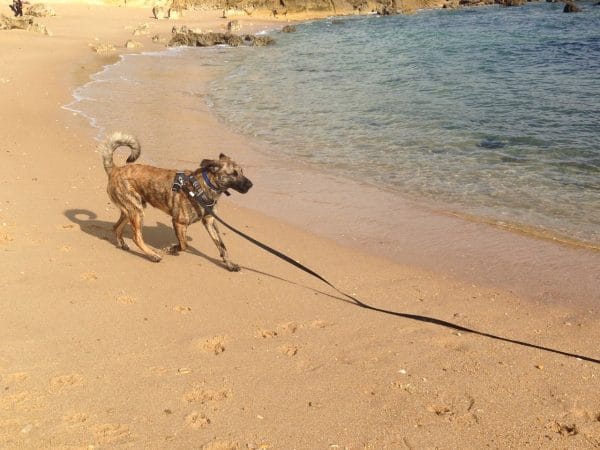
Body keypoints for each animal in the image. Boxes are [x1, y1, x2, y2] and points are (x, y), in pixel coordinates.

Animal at [98, 130, 251, 270]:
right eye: (233, 174)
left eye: (242, 171)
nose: (251, 185)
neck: (203, 186)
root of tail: (115, 170)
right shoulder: (179, 223)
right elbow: (184, 245)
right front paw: (172, 249)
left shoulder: (209, 221)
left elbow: (222, 246)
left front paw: (230, 264)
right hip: (137, 211)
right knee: (136, 237)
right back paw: (152, 255)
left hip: (132, 209)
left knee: (116, 227)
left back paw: (123, 244)